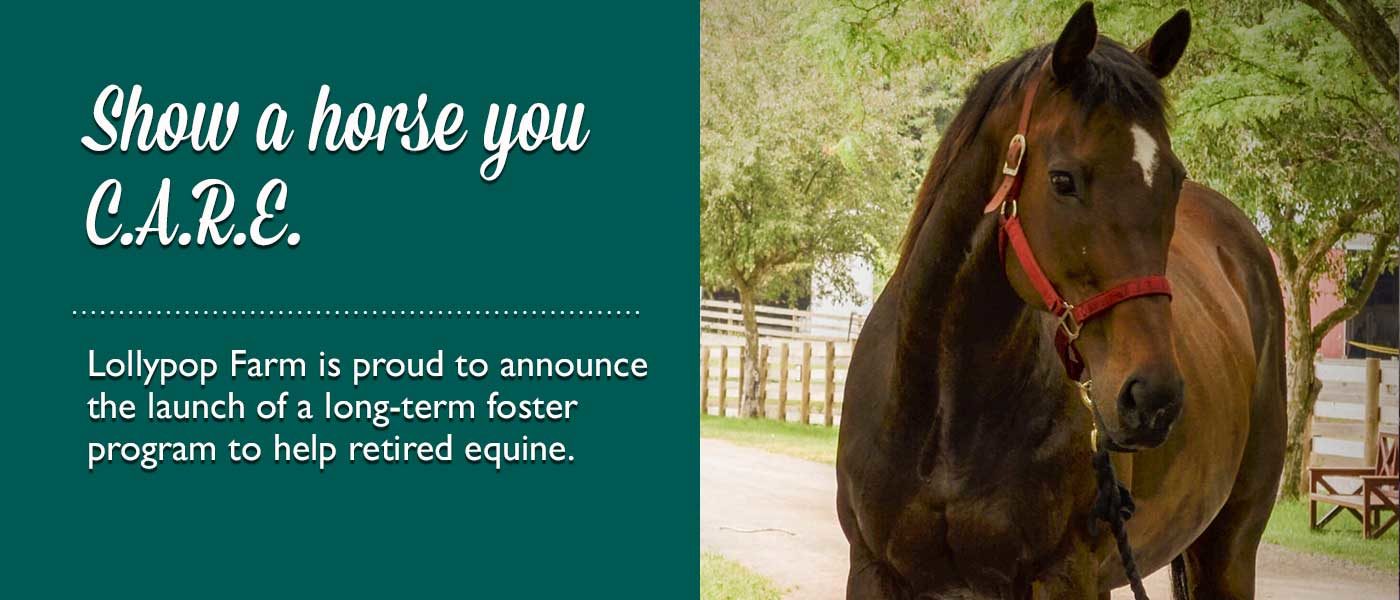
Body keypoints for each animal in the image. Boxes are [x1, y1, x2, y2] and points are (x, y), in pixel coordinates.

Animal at [835, 4, 1286, 599]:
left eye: (1173, 180)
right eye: (1063, 180)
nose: (1153, 397)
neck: (945, 415)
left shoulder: (1065, 576)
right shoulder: (873, 570)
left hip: (1228, 552)